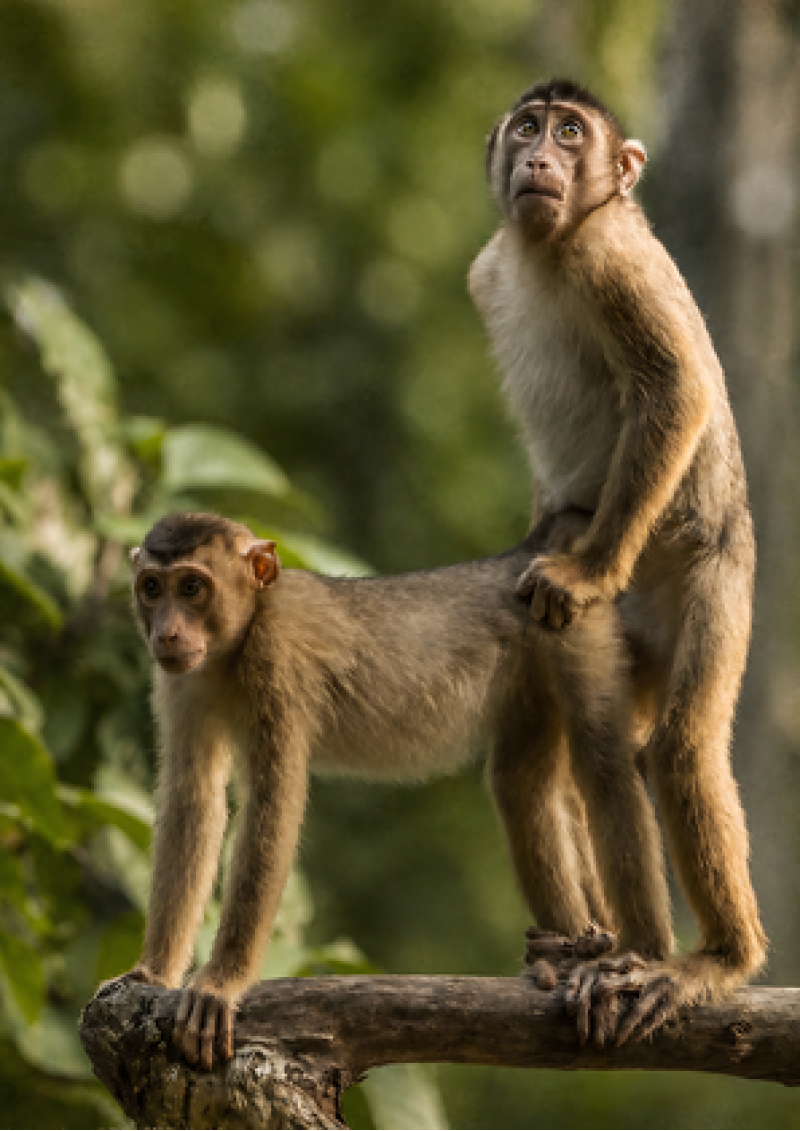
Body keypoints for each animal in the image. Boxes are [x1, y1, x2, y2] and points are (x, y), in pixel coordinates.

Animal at [107, 506, 658, 1070]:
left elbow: (271, 805)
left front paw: (222, 984)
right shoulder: (182, 679)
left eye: (193, 587)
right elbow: (192, 799)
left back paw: (641, 963)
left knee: (606, 771)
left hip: (576, 630)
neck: (239, 638)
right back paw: (568, 955)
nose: (167, 632)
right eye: (152, 588)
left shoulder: (276, 660)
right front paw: (154, 973)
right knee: (523, 787)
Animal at [468, 78, 766, 1044]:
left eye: (572, 133)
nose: (541, 159)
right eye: (529, 127)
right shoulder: (487, 271)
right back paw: (586, 946)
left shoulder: (609, 258)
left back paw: (714, 960)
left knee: (676, 748)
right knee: (562, 764)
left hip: (717, 582)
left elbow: (676, 389)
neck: (546, 252)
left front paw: (587, 569)